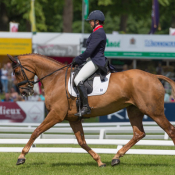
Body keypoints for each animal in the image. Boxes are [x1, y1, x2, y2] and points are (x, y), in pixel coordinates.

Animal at [7, 53, 175, 167]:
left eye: (17, 72)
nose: (24, 92)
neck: (55, 78)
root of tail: (154, 76)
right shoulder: (73, 118)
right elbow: (81, 142)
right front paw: (99, 161)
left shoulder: (56, 115)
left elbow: (36, 131)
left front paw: (21, 157)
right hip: (134, 110)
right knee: (139, 133)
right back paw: (116, 157)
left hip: (154, 112)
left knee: (170, 130)